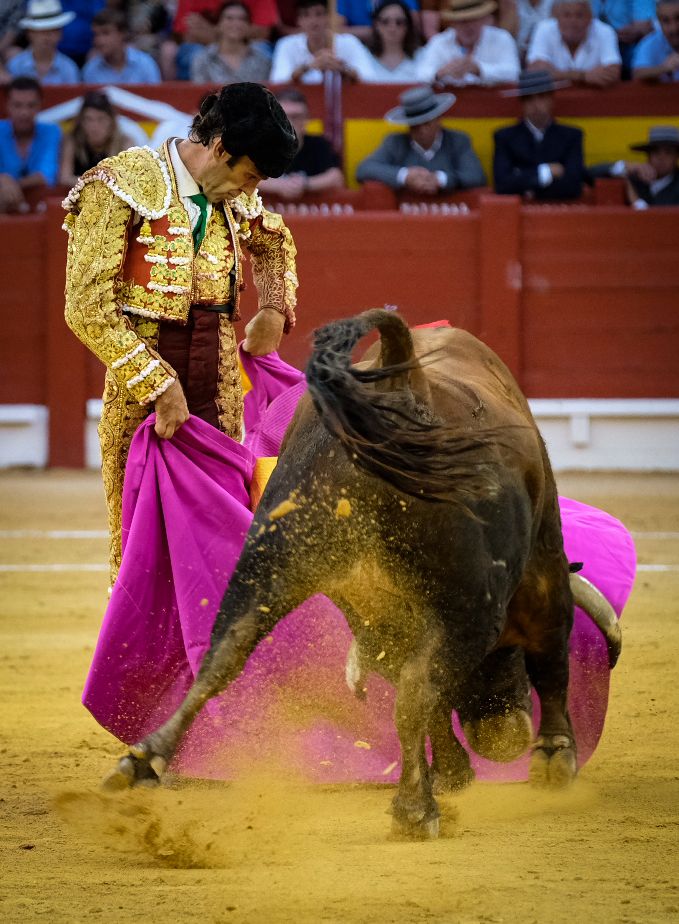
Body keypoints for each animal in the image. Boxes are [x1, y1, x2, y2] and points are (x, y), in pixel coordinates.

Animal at [105, 308, 620, 836]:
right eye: (506, 654)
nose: (502, 741)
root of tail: (401, 380)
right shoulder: (540, 569)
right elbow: (547, 654)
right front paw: (553, 757)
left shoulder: (376, 621)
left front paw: (455, 771)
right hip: (471, 603)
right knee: (418, 689)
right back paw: (416, 808)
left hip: (274, 560)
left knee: (226, 650)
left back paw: (144, 760)